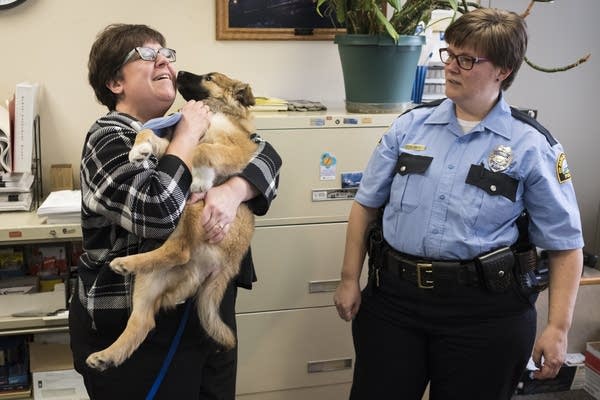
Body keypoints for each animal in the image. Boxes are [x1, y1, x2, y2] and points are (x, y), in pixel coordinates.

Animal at [86, 72, 258, 372]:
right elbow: (149, 134)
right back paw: (107, 354)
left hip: (194, 207)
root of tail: (227, 263)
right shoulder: (173, 145)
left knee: (180, 249)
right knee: (143, 319)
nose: (178, 73)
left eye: (209, 77)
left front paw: (200, 176)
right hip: (150, 277)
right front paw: (139, 149)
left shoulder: (239, 149)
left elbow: (202, 148)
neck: (216, 111)